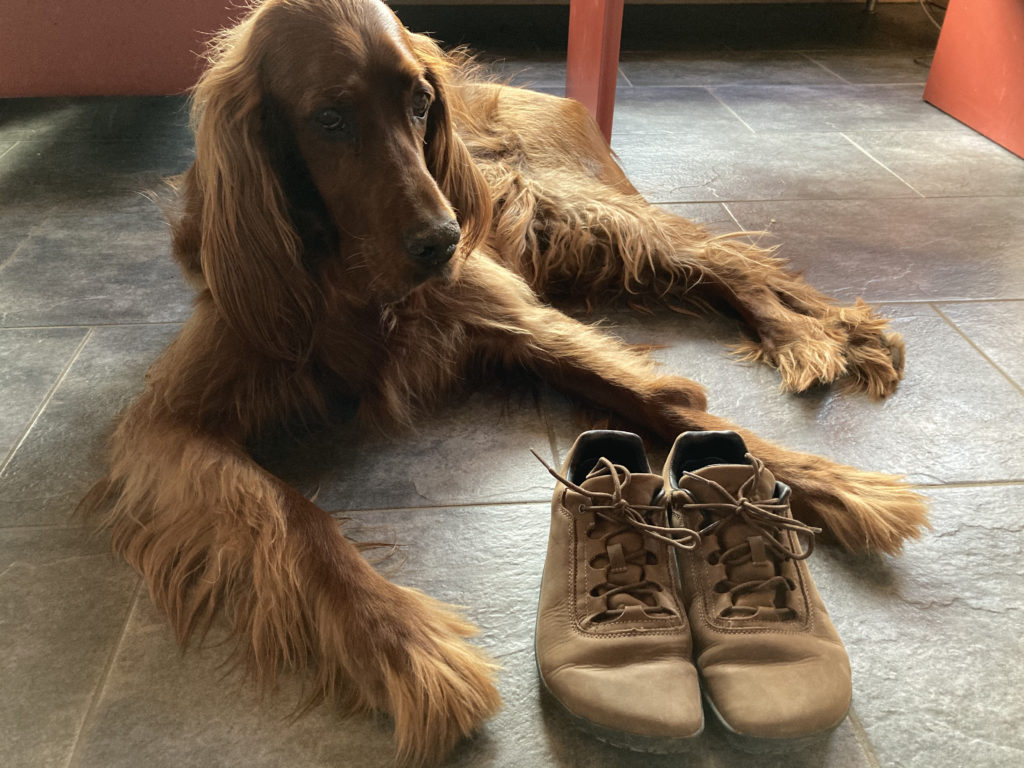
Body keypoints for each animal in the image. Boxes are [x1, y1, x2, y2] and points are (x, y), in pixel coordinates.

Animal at [86, 3, 929, 765]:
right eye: (328, 118)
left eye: (419, 101)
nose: (443, 239)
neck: (353, 284)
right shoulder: (170, 420)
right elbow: (295, 520)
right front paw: (410, 648)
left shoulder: (508, 313)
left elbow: (662, 402)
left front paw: (832, 484)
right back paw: (830, 336)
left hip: (578, 211)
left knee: (731, 261)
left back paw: (822, 334)